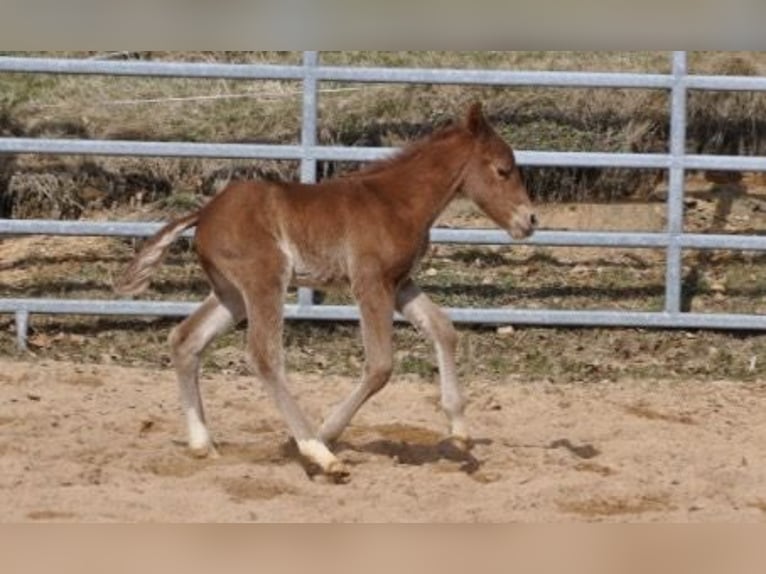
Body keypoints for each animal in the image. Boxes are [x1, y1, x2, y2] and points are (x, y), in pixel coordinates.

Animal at [115, 102, 536, 481]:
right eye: (503, 170)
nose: (530, 220)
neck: (395, 201)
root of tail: (204, 213)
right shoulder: (369, 282)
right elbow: (381, 365)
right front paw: (328, 430)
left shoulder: (399, 282)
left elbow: (443, 329)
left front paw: (459, 429)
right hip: (265, 280)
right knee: (264, 355)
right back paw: (319, 453)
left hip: (231, 294)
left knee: (186, 339)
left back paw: (202, 443)